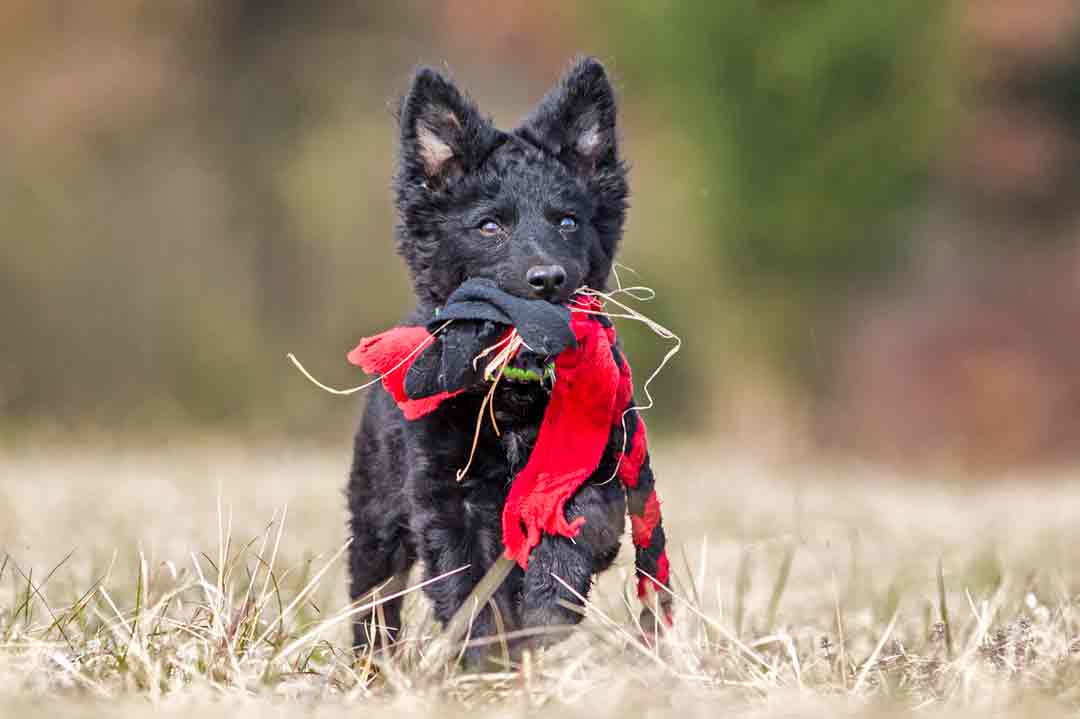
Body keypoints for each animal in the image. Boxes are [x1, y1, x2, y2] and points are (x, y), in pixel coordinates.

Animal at [345, 57, 665, 660]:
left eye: (567, 222)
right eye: (490, 225)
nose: (547, 280)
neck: (515, 390)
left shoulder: (594, 476)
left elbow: (569, 540)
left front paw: (543, 616)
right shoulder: (448, 501)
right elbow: (471, 592)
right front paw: (484, 660)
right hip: (375, 516)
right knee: (374, 596)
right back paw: (374, 663)